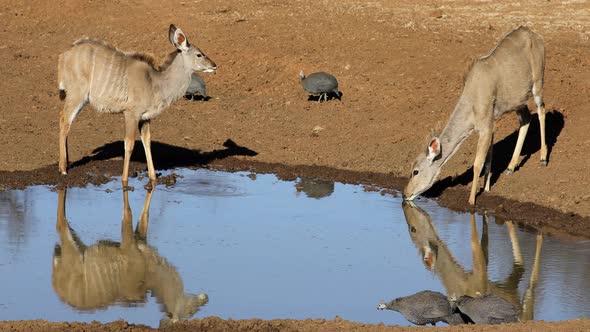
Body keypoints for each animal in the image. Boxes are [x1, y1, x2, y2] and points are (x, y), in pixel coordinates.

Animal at [53, 188, 209, 326]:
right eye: (190, 312)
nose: (206, 299)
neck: (150, 275)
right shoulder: (128, 245)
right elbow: (128, 214)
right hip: (71, 248)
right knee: (60, 224)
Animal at [57, 25, 217, 187]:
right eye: (199, 54)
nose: (214, 65)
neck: (154, 82)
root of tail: (64, 55)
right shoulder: (130, 113)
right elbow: (129, 144)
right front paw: (125, 180)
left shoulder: (145, 118)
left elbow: (147, 141)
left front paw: (153, 178)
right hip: (77, 95)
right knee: (64, 119)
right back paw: (63, 169)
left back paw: (67, 164)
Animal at [404, 26, 548, 205]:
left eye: (415, 171)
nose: (405, 193)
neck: (472, 99)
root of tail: (534, 35)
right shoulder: (491, 124)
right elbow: (488, 159)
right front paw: (486, 188)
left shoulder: (485, 128)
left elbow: (477, 163)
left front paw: (471, 200)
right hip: (518, 101)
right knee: (526, 119)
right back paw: (510, 167)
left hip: (537, 83)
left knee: (541, 110)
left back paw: (543, 158)